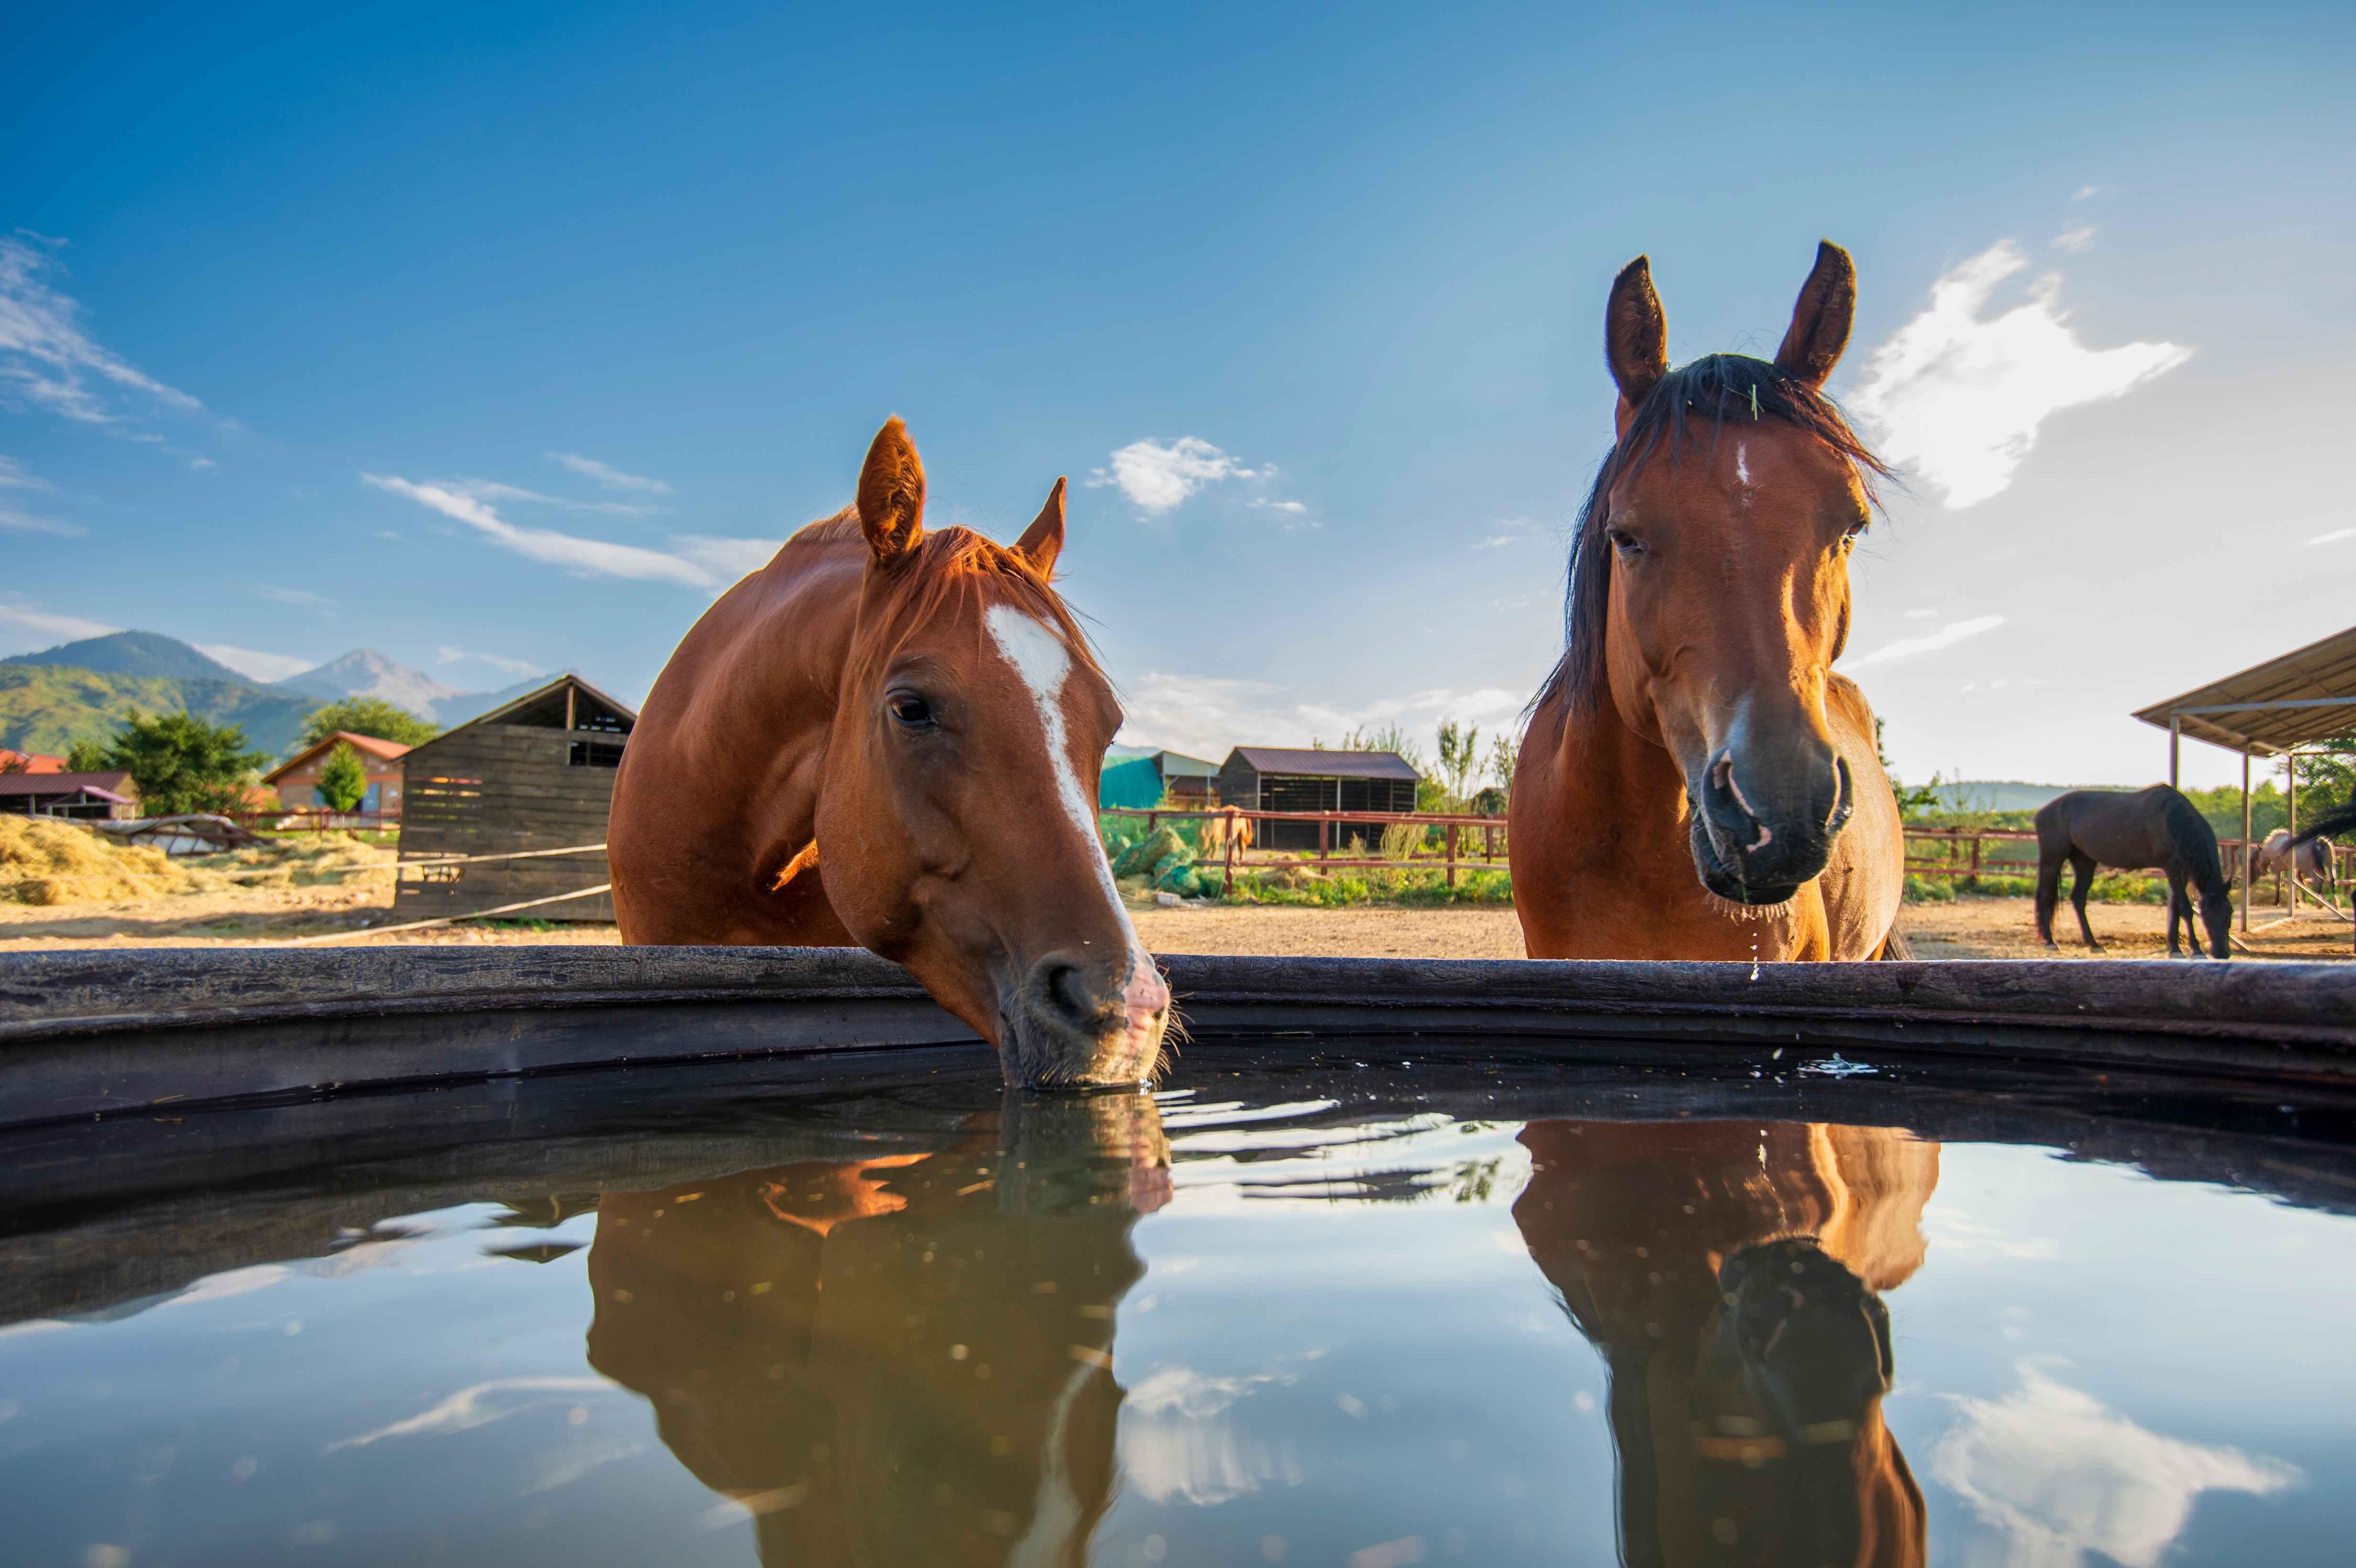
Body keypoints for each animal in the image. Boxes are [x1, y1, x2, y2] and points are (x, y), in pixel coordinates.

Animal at [2026, 782, 2224, 951]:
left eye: (2228, 913)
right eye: (2205, 917)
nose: (2222, 953)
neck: (2172, 819)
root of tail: (2042, 813)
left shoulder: (2183, 871)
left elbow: (2176, 907)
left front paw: (2175, 948)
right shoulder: (2171, 867)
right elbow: (2185, 907)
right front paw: (2196, 949)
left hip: (2085, 863)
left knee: (2079, 899)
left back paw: (2094, 944)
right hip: (2052, 860)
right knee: (2046, 896)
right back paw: (2050, 941)